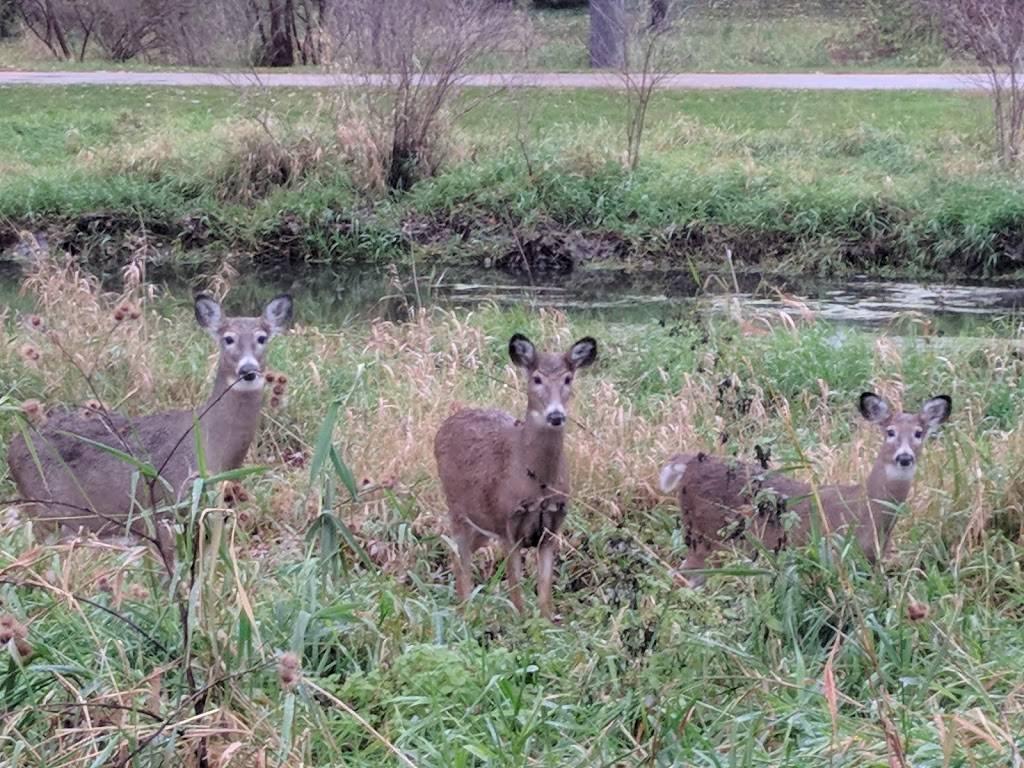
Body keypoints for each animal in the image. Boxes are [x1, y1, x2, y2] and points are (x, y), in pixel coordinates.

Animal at [6, 290, 292, 569]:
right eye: (228, 338)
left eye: (262, 338)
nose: (248, 370)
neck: (211, 446)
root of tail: (13, 447)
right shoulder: (165, 508)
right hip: (46, 512)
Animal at [434, 333, 598, 622]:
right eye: (537, 378)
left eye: (568, 378)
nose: (556, 415)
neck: (537, 484)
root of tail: (443, 427)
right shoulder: (508, 525)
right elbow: (516, 590)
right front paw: (519, 624)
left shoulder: (552, 528)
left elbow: (544, 592)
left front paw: (545, 624)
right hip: (457, 509)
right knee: (458, 555)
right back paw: (465, 614)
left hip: (482, 523)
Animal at [659, 393, 946, 585]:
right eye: (890, 432)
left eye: (919, 433)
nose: (904, 457)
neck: (865, 511)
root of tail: (688, 464)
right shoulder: (833, 554)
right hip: (705, 537)